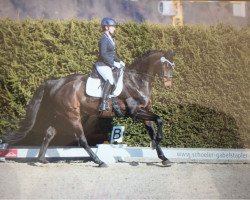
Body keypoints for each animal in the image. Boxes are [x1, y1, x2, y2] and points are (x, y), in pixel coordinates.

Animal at [0, 49, 175, 166]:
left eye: (172, 65)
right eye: (165, 65)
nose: (168, 84)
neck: (136, 81)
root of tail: (55, 82)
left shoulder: (144, 111)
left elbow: (153, 129)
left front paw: (163, 157)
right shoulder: (136, 112)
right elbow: (159, 119)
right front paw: (160, 141)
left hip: (61, 115)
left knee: (49, 133)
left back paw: (41, 159)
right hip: (72, 116)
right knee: (82, 139)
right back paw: (99, 161)